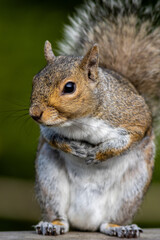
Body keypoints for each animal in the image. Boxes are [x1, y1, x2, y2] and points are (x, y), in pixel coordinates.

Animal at [29, 0, 159, 238]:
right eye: (35, 80)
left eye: (69, 87)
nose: (35, 113)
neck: (79, 122)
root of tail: (86, 222)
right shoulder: (48, 128)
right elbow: (51, 136)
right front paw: (70, 146)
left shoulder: (134, 115)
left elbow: (133, 135)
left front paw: (99, 153)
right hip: (48, 179)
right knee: (58, 212)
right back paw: (53, 224)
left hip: (133, 187)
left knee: (110, 221)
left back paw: (120, 227)